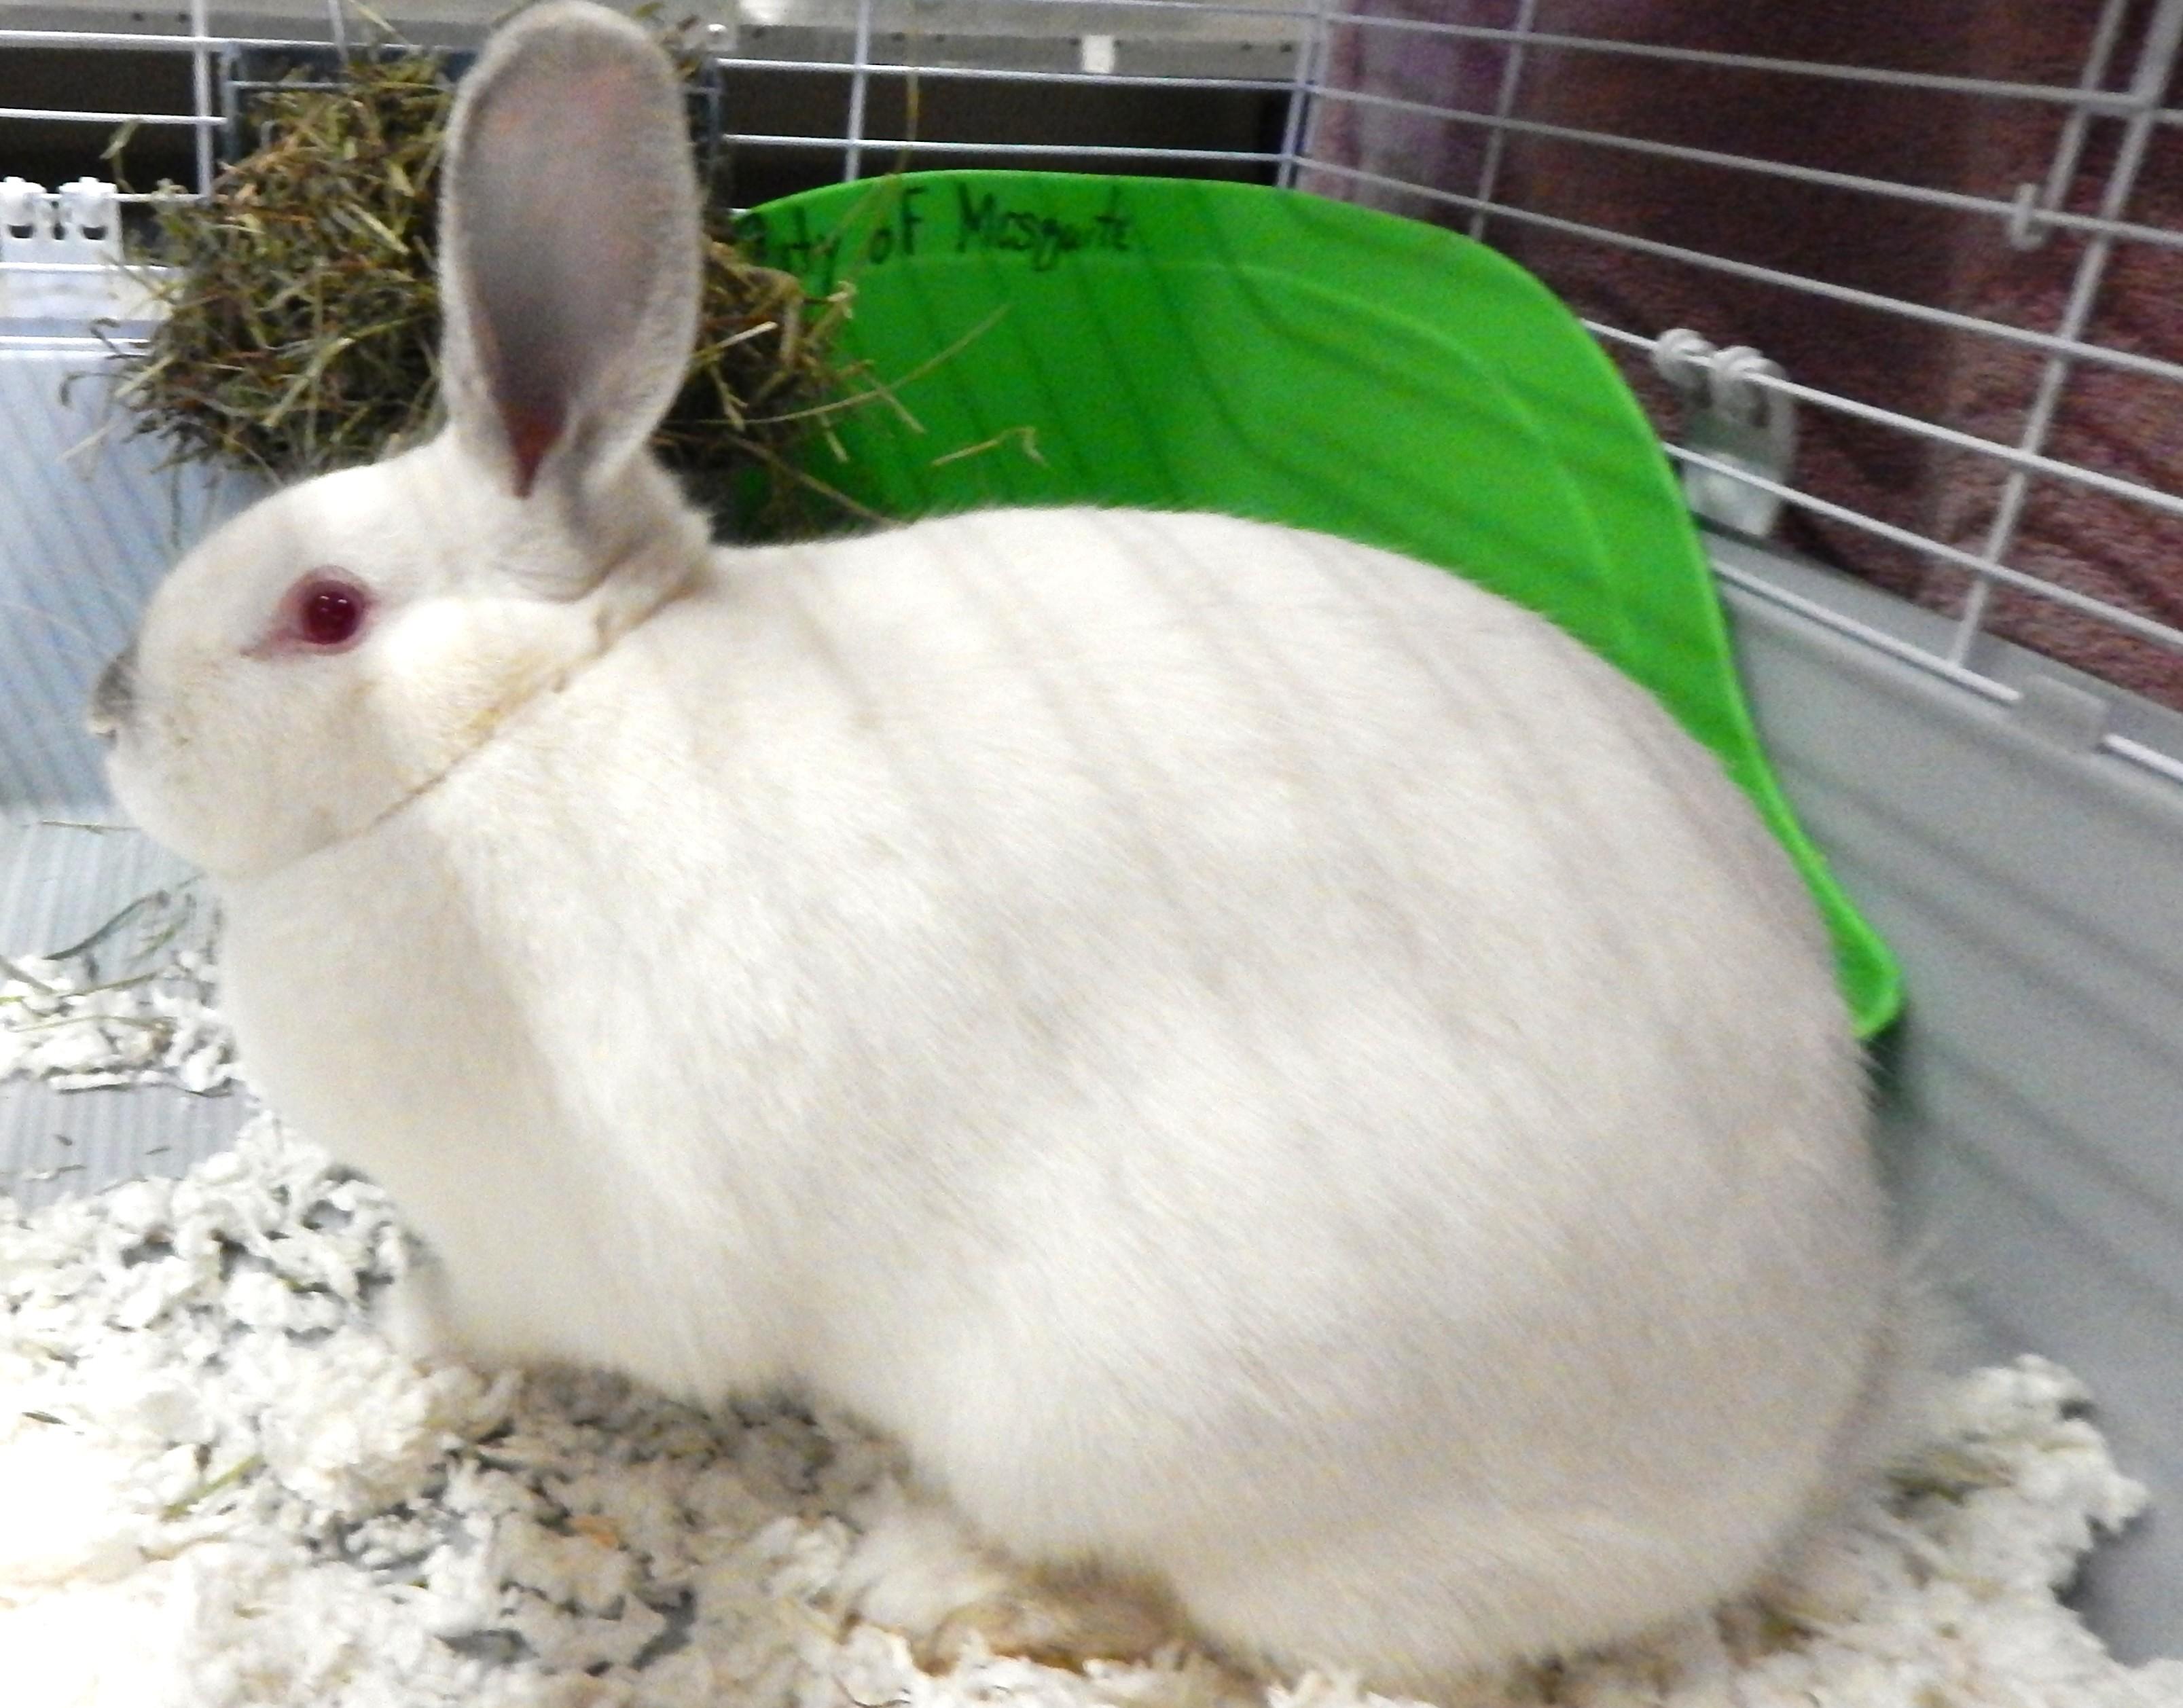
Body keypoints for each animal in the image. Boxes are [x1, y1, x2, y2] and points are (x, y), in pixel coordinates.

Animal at [89, 0, 1910, 1693]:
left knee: (1212, 1609)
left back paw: (935, 1578)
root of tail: (1790, 1454)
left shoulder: (564, 1244)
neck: (514, 727)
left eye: (326, 612)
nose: (111, 707)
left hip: (1151, 1413)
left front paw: (408, 1330)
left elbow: (507, 1309)